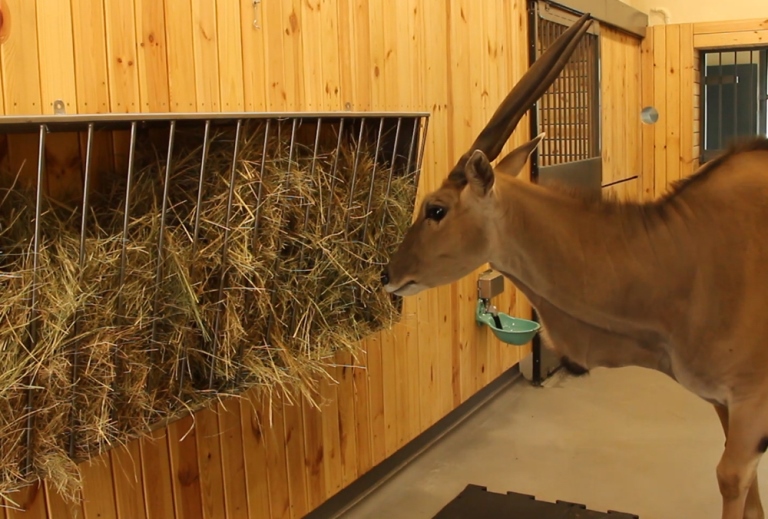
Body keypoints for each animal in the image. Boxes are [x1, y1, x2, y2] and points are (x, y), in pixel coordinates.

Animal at [380, 12, 768, 519]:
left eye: (436, 208)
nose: (388, 274)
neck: (682, 255)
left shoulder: (750, 405)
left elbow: (730, 478)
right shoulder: (725, 404)